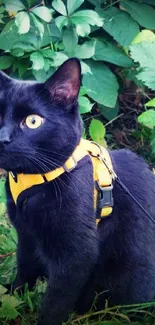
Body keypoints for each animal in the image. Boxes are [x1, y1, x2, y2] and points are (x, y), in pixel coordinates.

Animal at [0, 58, 155, 324]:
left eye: (33, 121)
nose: (2, 139)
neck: (33, 181)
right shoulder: (26, 235)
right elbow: (25, 267)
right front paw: (14, 297)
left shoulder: (76, 256)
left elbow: (55, 302)